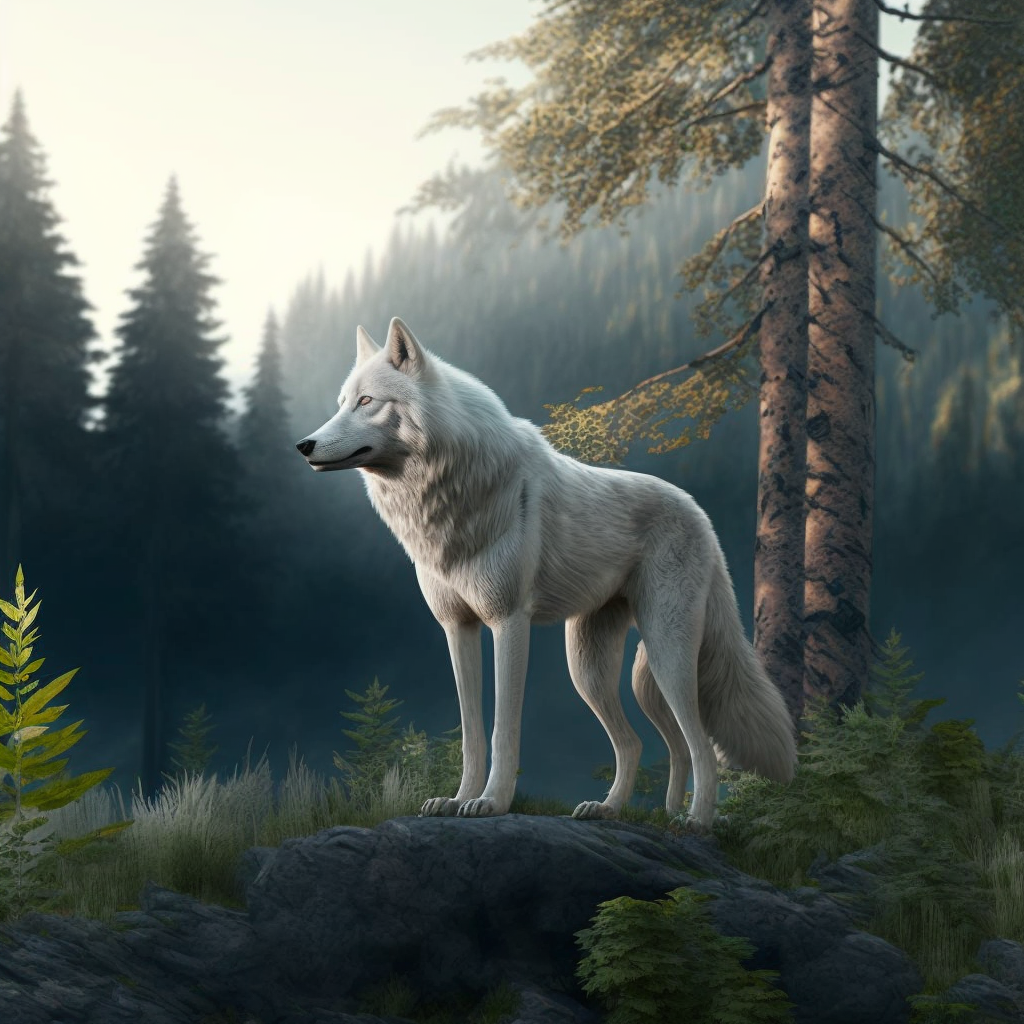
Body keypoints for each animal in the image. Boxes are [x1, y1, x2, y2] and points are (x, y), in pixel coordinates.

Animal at [296, 318, 796, 829]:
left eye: (366, 402)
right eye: (341, 403)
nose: (303, 445)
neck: (447, 496)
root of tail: (700, 514)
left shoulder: (509, 622)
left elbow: (503, 729)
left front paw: (491, 802)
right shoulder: (458, 628)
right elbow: (471, 733)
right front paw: (455, 801)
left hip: (666, 654)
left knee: (700, 746)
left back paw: (695, 820)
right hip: (590, 668)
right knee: (641, 743)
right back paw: (613, 809)